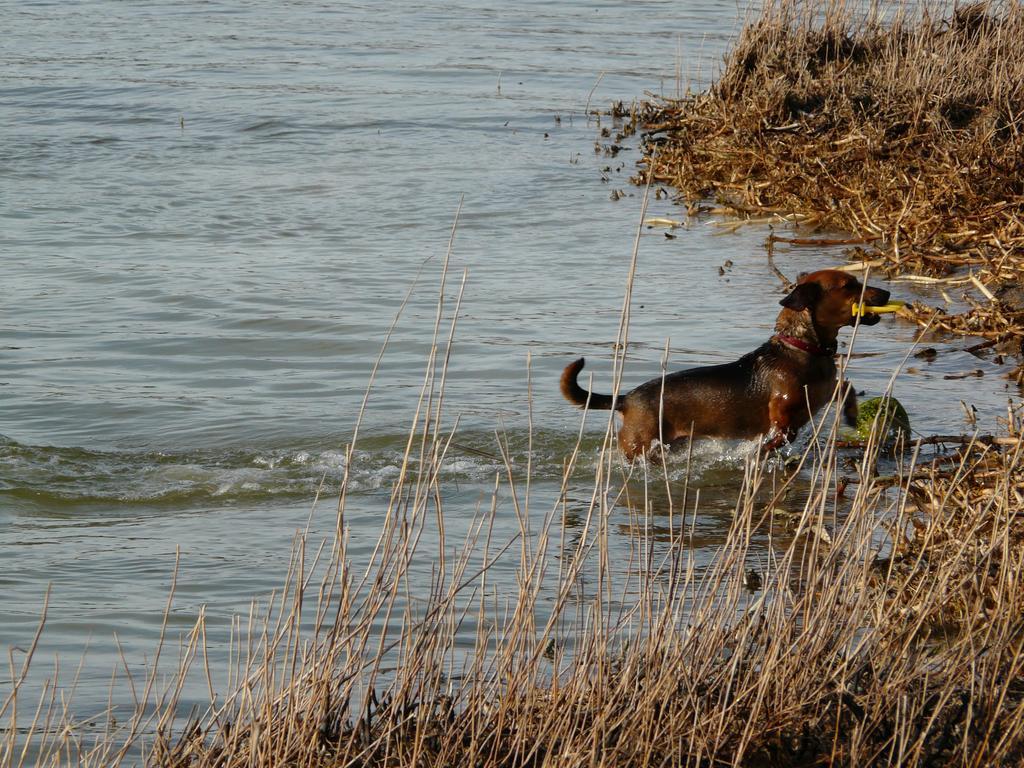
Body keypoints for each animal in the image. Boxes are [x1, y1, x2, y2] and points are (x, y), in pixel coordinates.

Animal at [565, 270, 892, 460]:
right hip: (640, 444)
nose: (888, 293)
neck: (802, 348)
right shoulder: (782, 415)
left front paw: (852, 415)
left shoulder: (826, 390)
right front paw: (760, 453)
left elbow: (846, 386)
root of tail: (626, 399)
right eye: (849, 285)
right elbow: (782, 432)